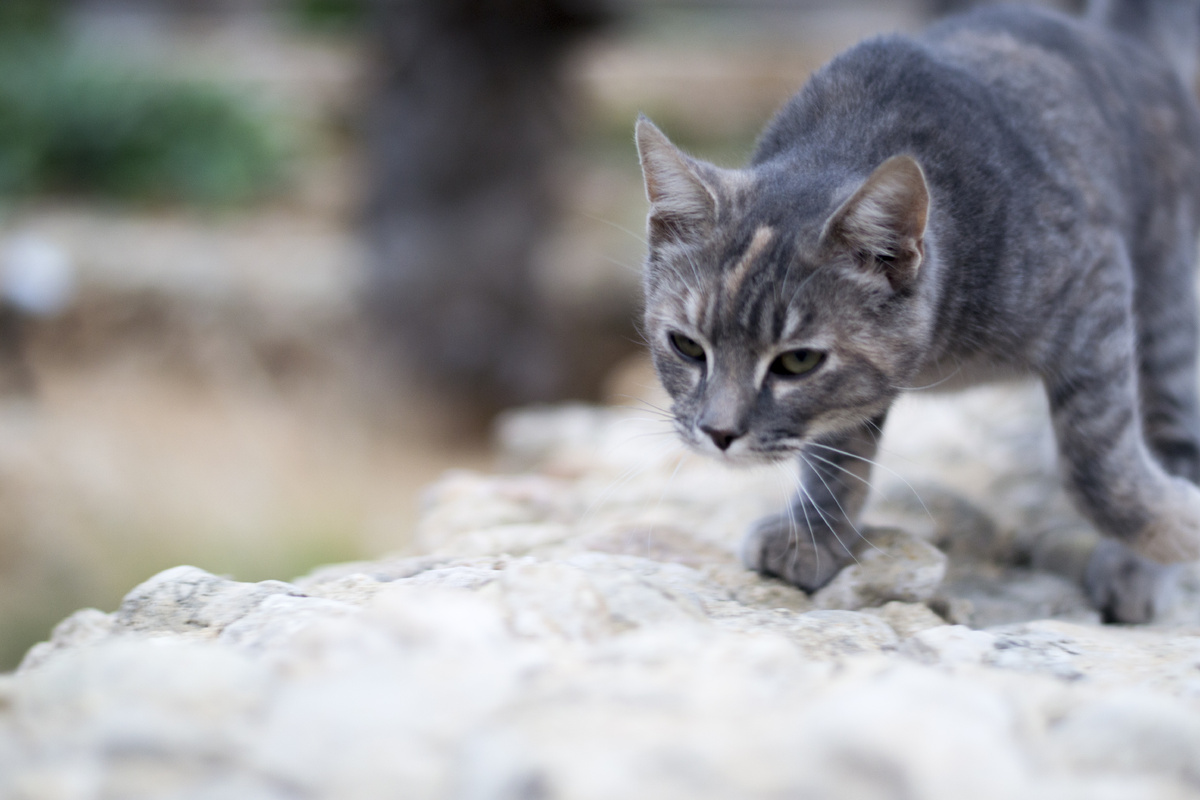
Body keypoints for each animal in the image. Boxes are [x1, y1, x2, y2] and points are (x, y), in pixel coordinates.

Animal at [643, 0, 1200, 623]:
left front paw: (1175, 527)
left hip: (1163, 301)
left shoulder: (1094, 291)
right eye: (687, 346)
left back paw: (1143, 561)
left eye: (797, 362)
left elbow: (1093, 461)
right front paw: (814, 538)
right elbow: (837, 455)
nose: (718, 432)